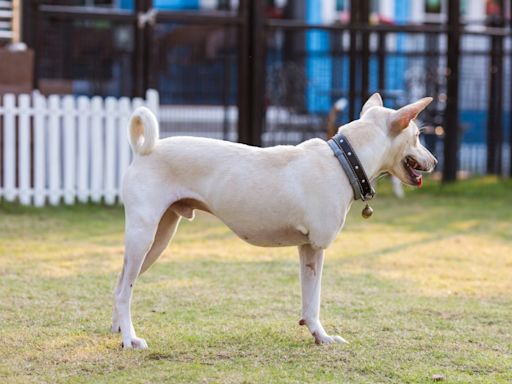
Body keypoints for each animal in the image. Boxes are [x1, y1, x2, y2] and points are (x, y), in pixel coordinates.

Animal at [112, 92, 436, 348]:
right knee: (125, 291)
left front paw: (318, 336)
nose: (434, 161)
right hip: (143, 236)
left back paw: (117, 329)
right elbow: (314, 299)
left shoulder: (307, 249)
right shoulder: (317, 248)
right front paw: (322, 336)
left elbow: (309, 302)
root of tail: (146, 151)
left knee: (120, 284)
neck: (344, 160)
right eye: (418, 137)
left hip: (159, 239)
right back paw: (130, 339)